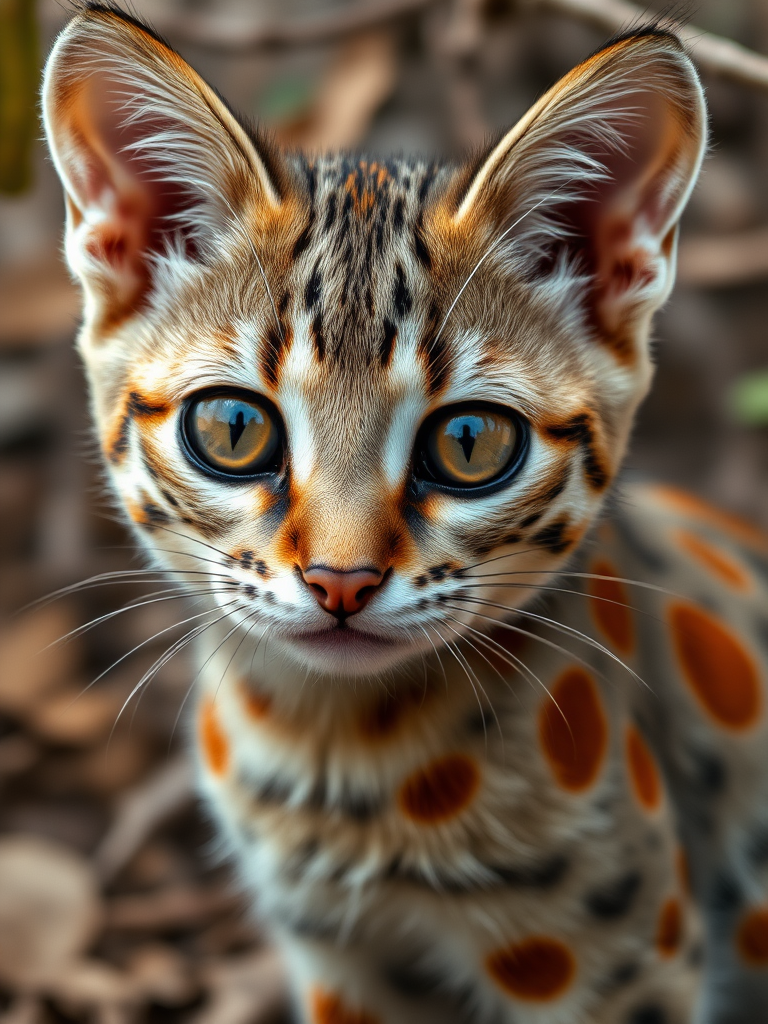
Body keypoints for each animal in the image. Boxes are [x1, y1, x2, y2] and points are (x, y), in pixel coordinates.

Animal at [41, 8, 768, 1024]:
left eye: (469, 441)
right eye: (233, 428)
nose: (340, 582)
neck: (338, 749)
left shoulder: (619, 967)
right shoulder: (341, 965)